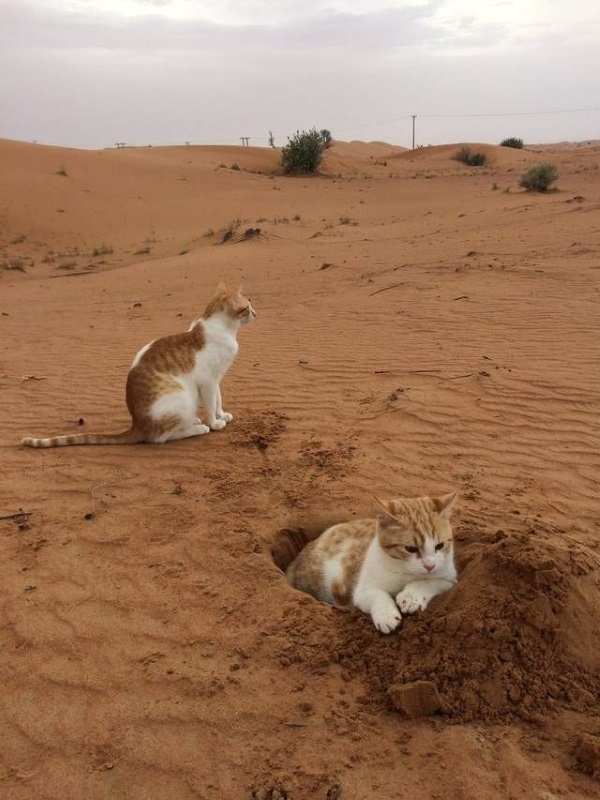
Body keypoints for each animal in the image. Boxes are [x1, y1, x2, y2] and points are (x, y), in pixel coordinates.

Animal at [21, 282, 254, 446]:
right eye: (248, 307)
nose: (256, 313)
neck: (223, 328)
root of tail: (137, 425)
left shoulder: (217, 378)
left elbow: (218, 400)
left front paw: (222, 414)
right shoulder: (207, 382)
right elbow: (210, 403)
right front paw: (214, 423)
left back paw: (193, 422)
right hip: (183, 397)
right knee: (160, 437)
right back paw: (197, 428)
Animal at [284, 490, 454, 636]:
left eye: (439, 546)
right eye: (410, 549)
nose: (430, 566)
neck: (405, 571)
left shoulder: (449, 579)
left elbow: (428, 582)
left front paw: (411, 597)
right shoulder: (360, 592)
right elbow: (377, 594)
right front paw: (386, 615)